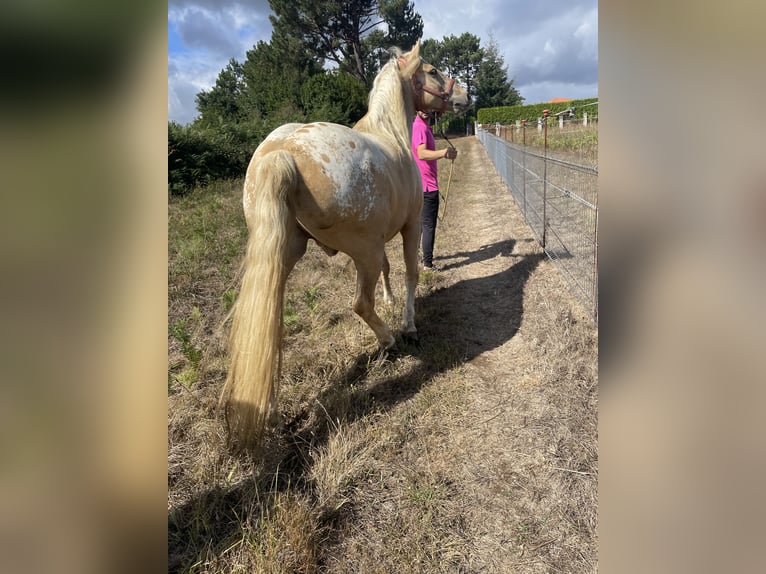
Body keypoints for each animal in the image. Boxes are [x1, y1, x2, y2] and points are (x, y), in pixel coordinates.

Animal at [216, 42, 468, 452]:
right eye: (432, 71)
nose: (463, 97)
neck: (391, 133)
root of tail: (283, 151)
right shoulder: (410, 227)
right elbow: (410, 272)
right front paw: (408, 324)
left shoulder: (381, 240)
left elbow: (389, 271)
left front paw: (390, 300)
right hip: (362, 252)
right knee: (359, 304)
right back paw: (389, 340)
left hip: (287, 254)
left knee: (268, 324)